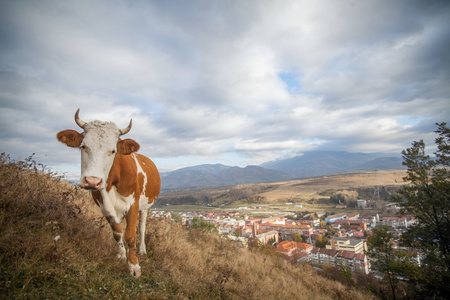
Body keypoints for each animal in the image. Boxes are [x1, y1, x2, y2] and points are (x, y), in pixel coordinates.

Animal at [57, 109, 161, 278]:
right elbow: (117, 233)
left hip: (146, 206)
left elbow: (130, 235)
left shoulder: (133, 204)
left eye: (113, 151)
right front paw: (121, 255)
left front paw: (134, 266)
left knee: (142, 226)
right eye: (83, 146)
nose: (92, 181)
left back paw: (142, 250)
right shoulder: (103, 206)